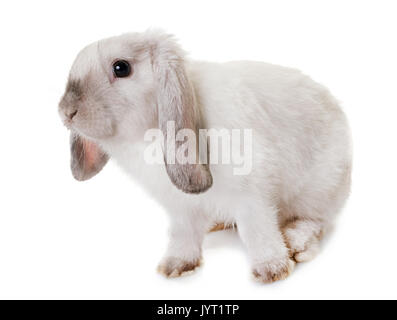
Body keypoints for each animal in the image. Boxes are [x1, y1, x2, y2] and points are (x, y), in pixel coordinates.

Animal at [58, 30, 350, 282]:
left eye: (121, 68)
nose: (66, 112)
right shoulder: (181, 207)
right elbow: (183, 235)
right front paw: (176, 266)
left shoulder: (251, 195)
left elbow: (257, 230)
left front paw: (272, 270)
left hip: (317, 191)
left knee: (315, 220)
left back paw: (296, 243)